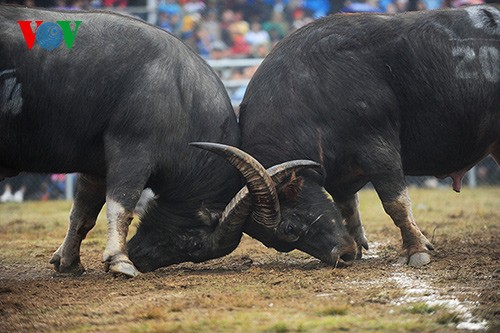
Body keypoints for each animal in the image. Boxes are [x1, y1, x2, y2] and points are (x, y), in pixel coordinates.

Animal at [239, 5, 500, 266]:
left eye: (289, 228)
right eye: (278, 244)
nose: (341, 256)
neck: (310, 94)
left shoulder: (378, 149)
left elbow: (395, 204)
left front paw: (416, 250)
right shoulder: (341, 176)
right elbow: (348, 209)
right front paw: (358, 247)